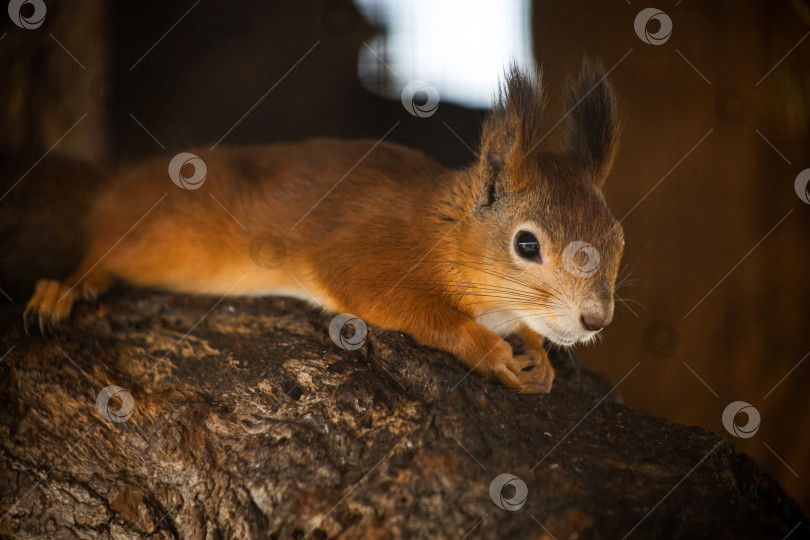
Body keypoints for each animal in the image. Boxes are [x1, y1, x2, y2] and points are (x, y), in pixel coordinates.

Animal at [23, 62, 620, 392]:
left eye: (617, 239)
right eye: (527, 244)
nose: (595, 319)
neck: (444, 230)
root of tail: (112, 183)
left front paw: (537, 353)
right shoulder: (365, 253)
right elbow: (401, 305)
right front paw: (490, 350)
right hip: (145, 239)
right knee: (98, 256)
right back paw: (64, 289)